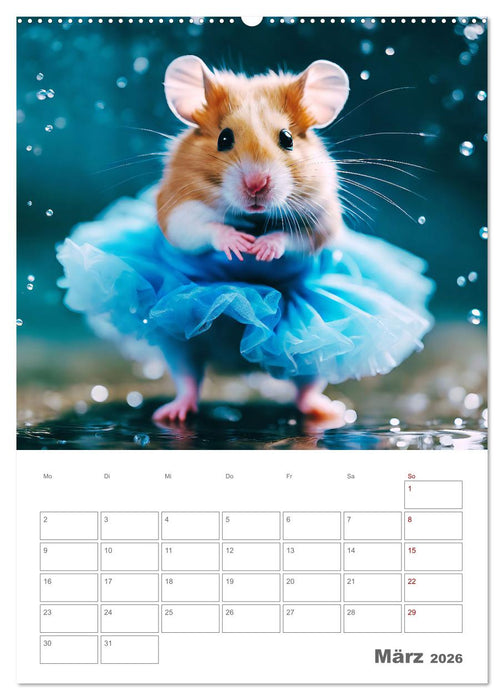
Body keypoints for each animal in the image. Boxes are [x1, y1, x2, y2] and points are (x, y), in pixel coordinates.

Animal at [153, 55, 351, 423]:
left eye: (287, 138)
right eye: (224, 138)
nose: (257, 184)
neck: (254, 217)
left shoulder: (323, 217)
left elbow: (296, 237)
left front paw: (262, 249)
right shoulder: (176, 207)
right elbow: (199, 226)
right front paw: (239, 244)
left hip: (317, 348)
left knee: (306, 382)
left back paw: (330, 412)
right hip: (177, 337)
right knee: (187, 377)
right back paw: (171, 413)